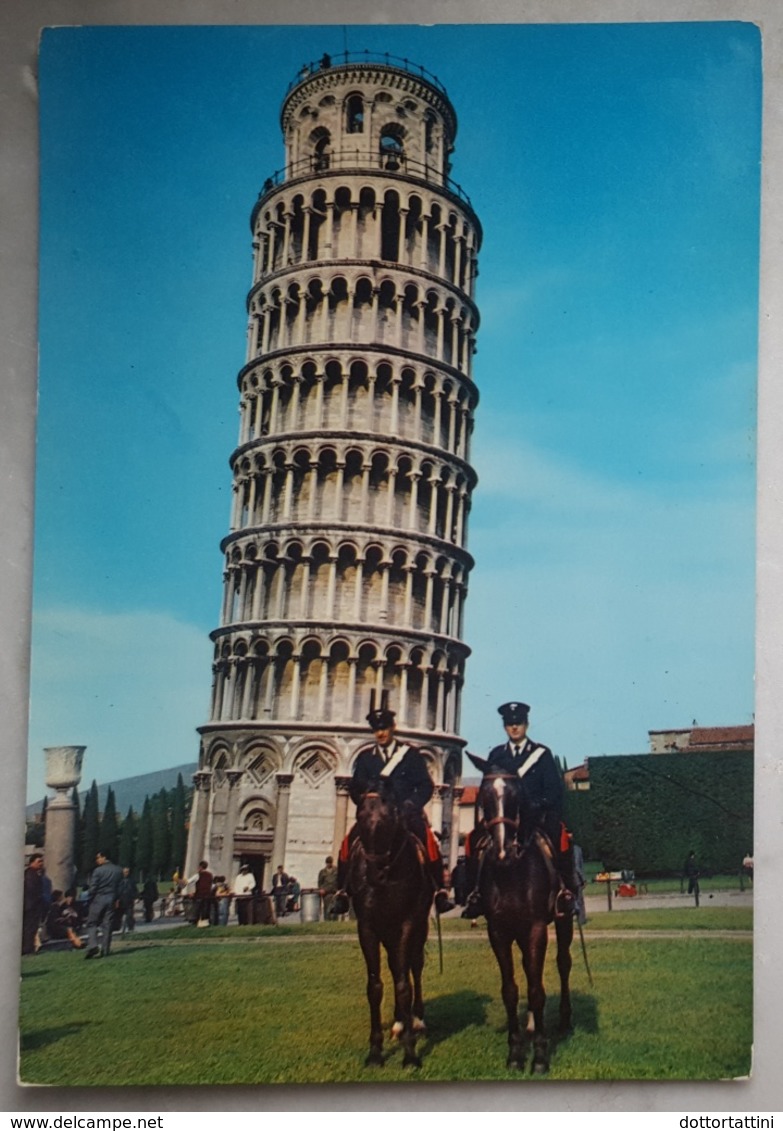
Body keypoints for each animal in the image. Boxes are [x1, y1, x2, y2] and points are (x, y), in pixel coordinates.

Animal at [348, 782, 434, 1063]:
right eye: (359, 817)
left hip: (418, 927)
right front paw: (375, 1051)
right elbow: (375, 985)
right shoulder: (367, 928)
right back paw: (399, 1022)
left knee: (413, 965)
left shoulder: (408, 922)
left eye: (392, 817)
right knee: (396, 966)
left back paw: (415, 1020)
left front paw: (410, 1053)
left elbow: (404, 983)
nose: (374, 872)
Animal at [472, 773, 572, 1072]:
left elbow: (537, 990)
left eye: (517, 795)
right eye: (484, 796)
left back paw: (564, 1021)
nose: (503, 851)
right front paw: (515, 1052)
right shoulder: (498, 931)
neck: (511, 873)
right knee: (529, 969)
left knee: (563, 963)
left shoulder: (537, 928)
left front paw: (539, 1056)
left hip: (564, 920)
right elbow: (511, 990)